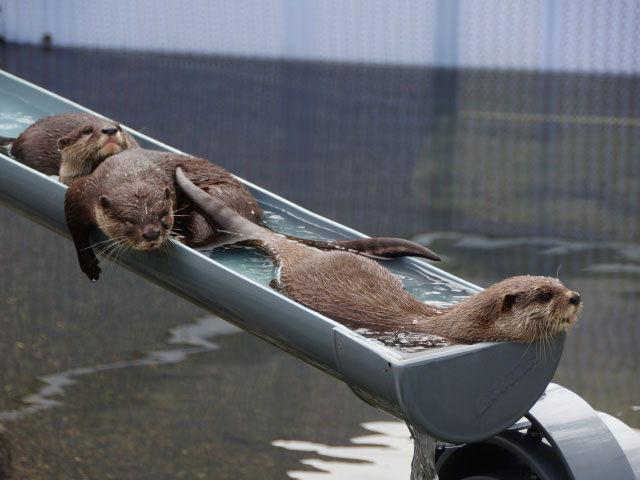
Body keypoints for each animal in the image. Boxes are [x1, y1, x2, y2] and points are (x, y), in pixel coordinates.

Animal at [66, 150, 440, 282]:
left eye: (163, 214)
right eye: (129, 221)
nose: (151, 234)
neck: (130, 174)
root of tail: (256, 216)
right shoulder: (83, 191)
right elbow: (74, 223)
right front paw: (87, 261)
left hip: (217, 196)